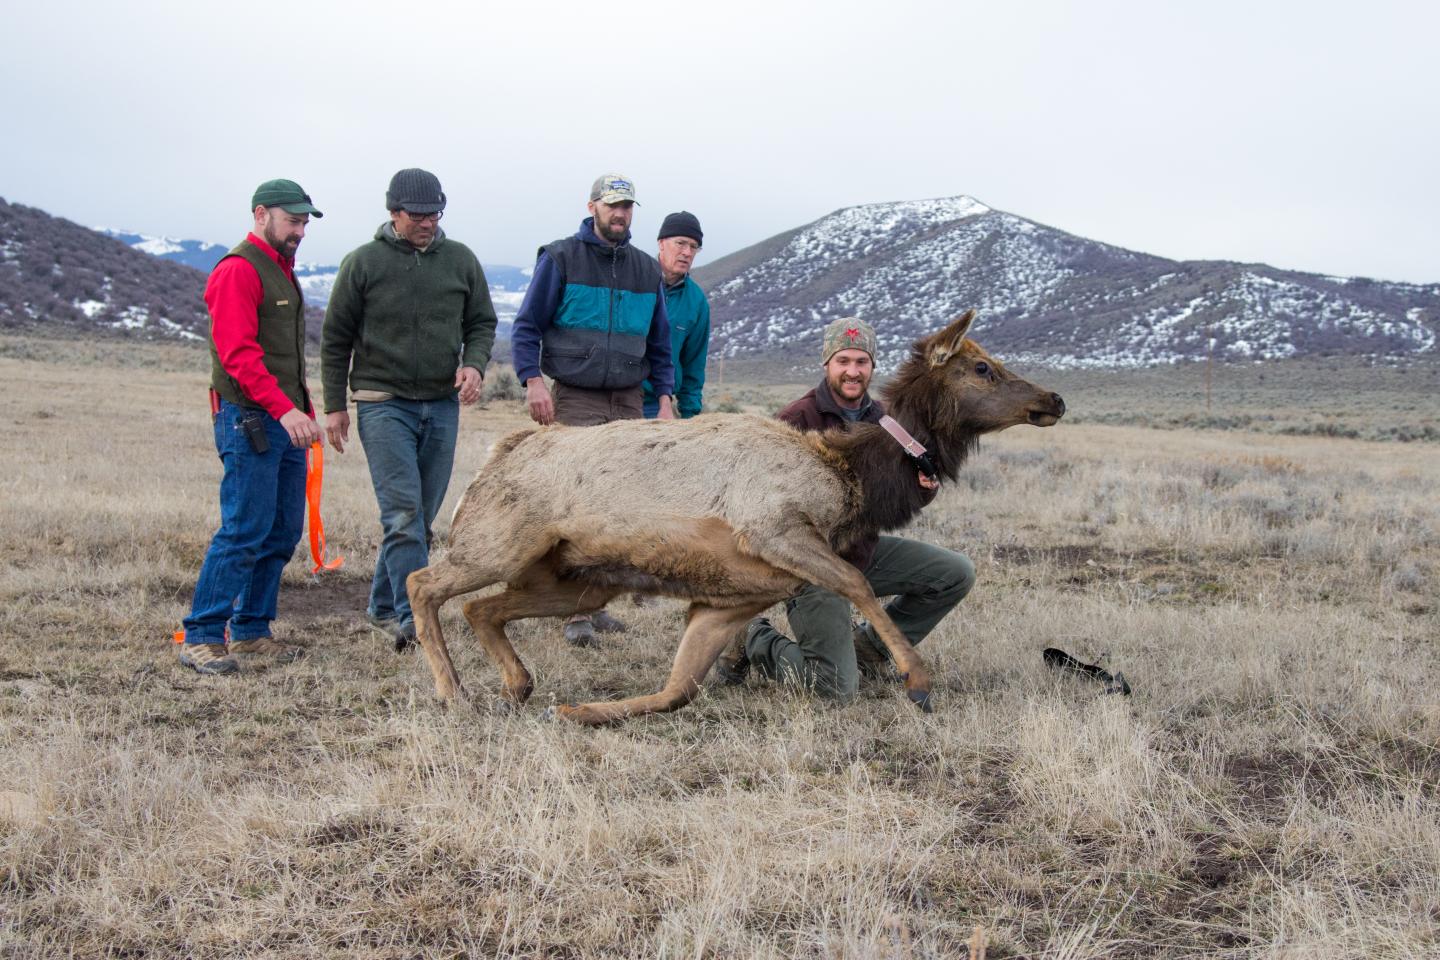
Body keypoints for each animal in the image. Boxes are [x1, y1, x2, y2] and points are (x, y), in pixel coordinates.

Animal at [406, 310, 1065, 724]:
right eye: (981, 367)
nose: (1053, 399)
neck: (853, 480)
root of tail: (500, 451)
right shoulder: (772, 527)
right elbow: (856, 582)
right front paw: (917, 680)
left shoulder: (728, 600)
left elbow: (676, 691)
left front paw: (580, 711)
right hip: (500, 542)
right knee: (424, 582)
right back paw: (451, 691)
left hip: (577, 582)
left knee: (481, 608)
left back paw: (518, 685)